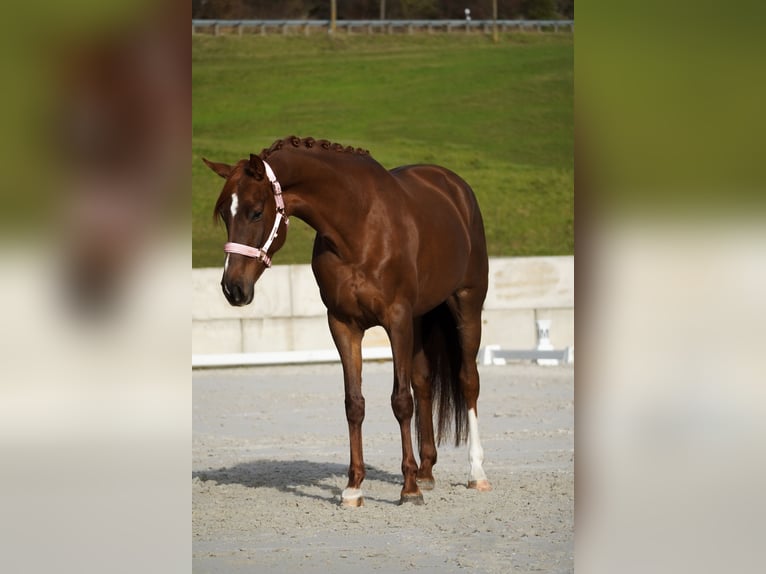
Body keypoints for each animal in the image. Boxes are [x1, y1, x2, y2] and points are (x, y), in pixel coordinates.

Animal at [203, 136, 492, 506]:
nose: (233, 288)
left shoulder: (396, 319)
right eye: (226, 214)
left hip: (466, 304)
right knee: (424, 382)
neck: (359, 227)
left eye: (256, 211)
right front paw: (354, 487)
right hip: (420, 319)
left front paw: (408, 489)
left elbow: (401, 401)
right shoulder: (343, 325)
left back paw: (475, 473)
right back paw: (426, 472)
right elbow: (354, 403)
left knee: (468, 381)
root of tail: (455, 187)